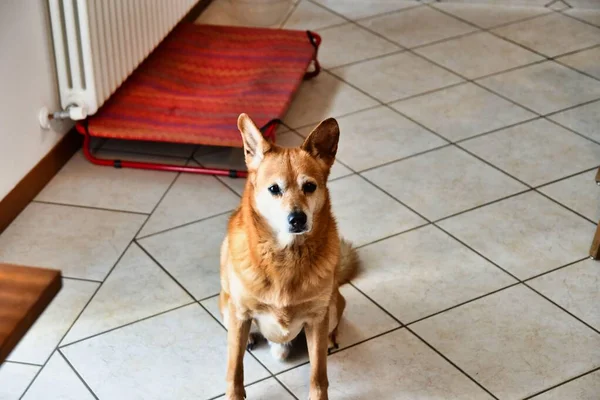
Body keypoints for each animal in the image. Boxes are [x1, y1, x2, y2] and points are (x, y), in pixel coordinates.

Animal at [220, 113, 360, 400]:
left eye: (309, 186)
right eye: (274, 189)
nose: (298, 219)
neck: (285, 256)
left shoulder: (317, 319)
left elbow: (318, 375)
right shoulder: (239, 314)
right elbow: (234, 371)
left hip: (333, 306)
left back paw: (331, 338)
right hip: (226, 307)